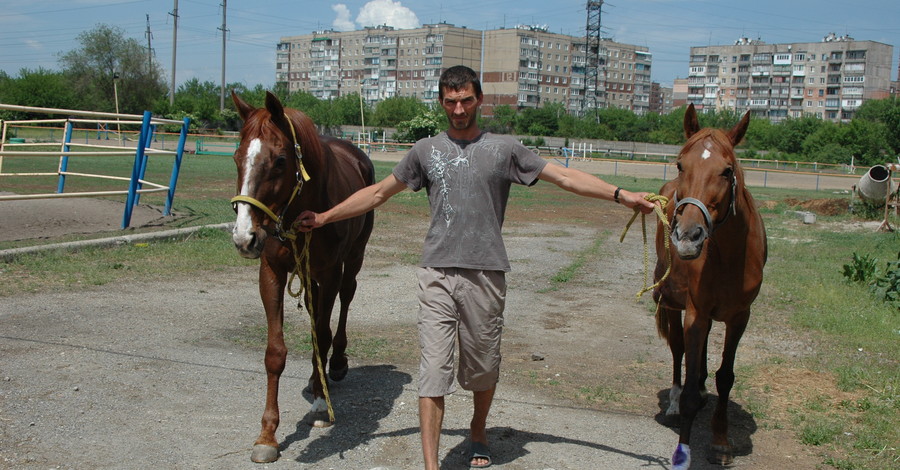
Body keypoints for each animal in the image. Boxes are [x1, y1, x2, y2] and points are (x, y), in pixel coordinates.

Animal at [230, 91, 374, 462]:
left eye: (280, 161)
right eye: (237, 157)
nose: (244, 238)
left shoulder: (330, 271)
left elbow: (322, 334)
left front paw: (322, 406)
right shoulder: (272, 272)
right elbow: (275, 353)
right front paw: (267, 435)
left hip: (353, 259)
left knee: (345, 301)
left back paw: (334, 364)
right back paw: (315, 377)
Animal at [652, 104, 768, 468]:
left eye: (727, 171)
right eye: (680, 164)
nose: (688, 236)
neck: (728, 257)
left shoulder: (740, 316)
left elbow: (725, 376)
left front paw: (720, 441)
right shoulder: (696, 313)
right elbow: (688, 372)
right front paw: (682, 449)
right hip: (673, 305)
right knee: (678, 352)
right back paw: (675, 403)